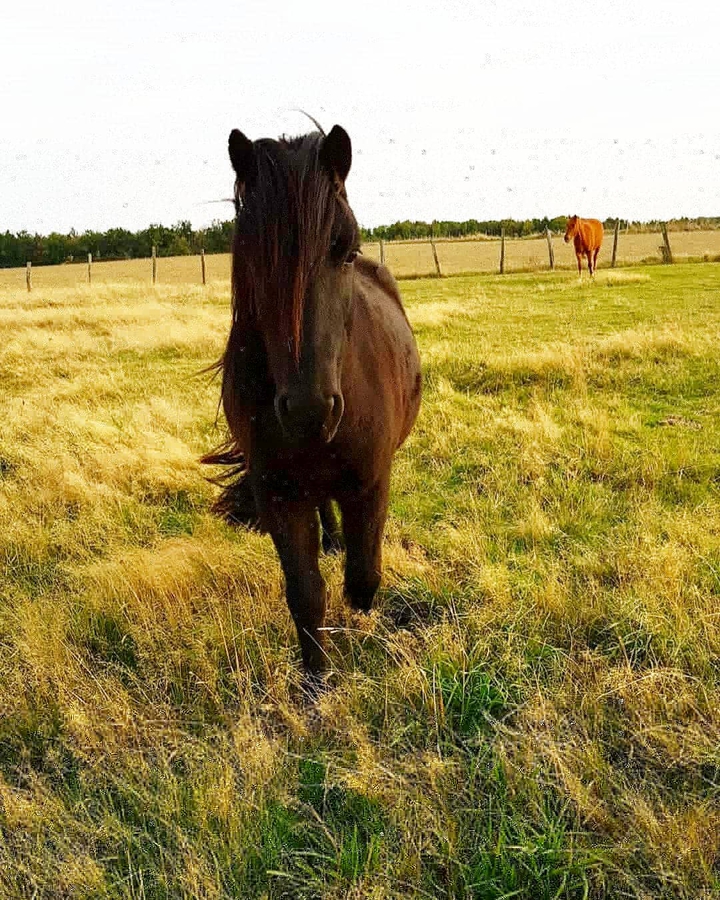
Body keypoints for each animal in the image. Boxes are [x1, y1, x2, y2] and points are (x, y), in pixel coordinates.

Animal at [202, 123, 422, 688]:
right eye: (250, 252)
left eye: (345, 248)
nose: (309, 411)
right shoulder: (278, 492)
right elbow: (306, 594)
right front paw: (315, 683)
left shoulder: (372, 480)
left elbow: (364, 576)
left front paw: (364, 627)